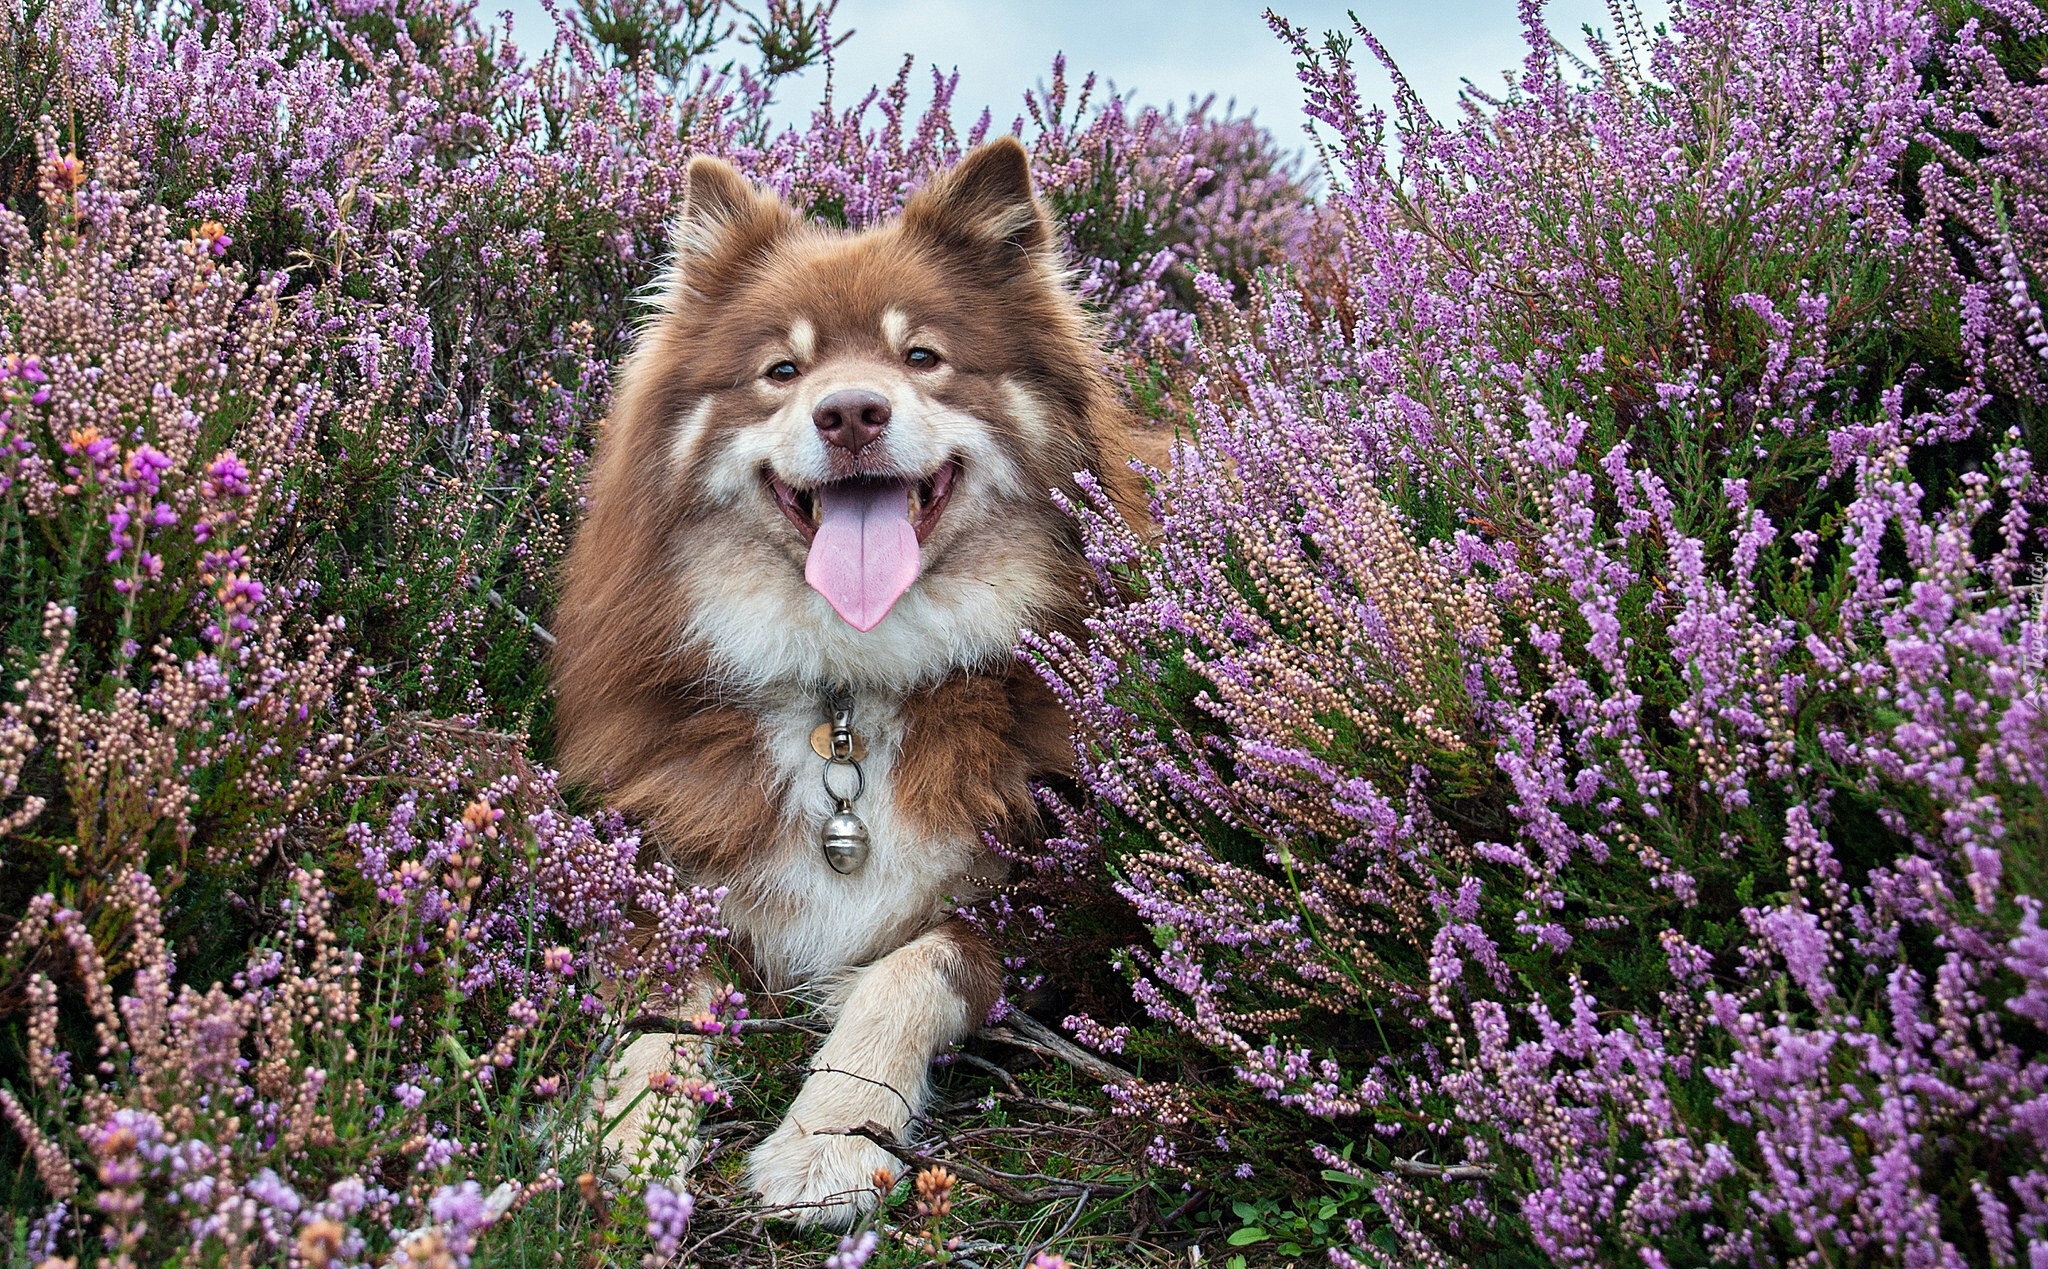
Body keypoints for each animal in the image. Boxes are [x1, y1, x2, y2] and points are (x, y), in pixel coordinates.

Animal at [552, 139, 1146, 1228]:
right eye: (782, 371)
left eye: (922, 357)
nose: (851, 412)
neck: (847, 698)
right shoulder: (675, 875)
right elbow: (662, 1009)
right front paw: (621, 1138)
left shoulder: (1041, 913)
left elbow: (901, 972)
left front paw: (829, 1138)